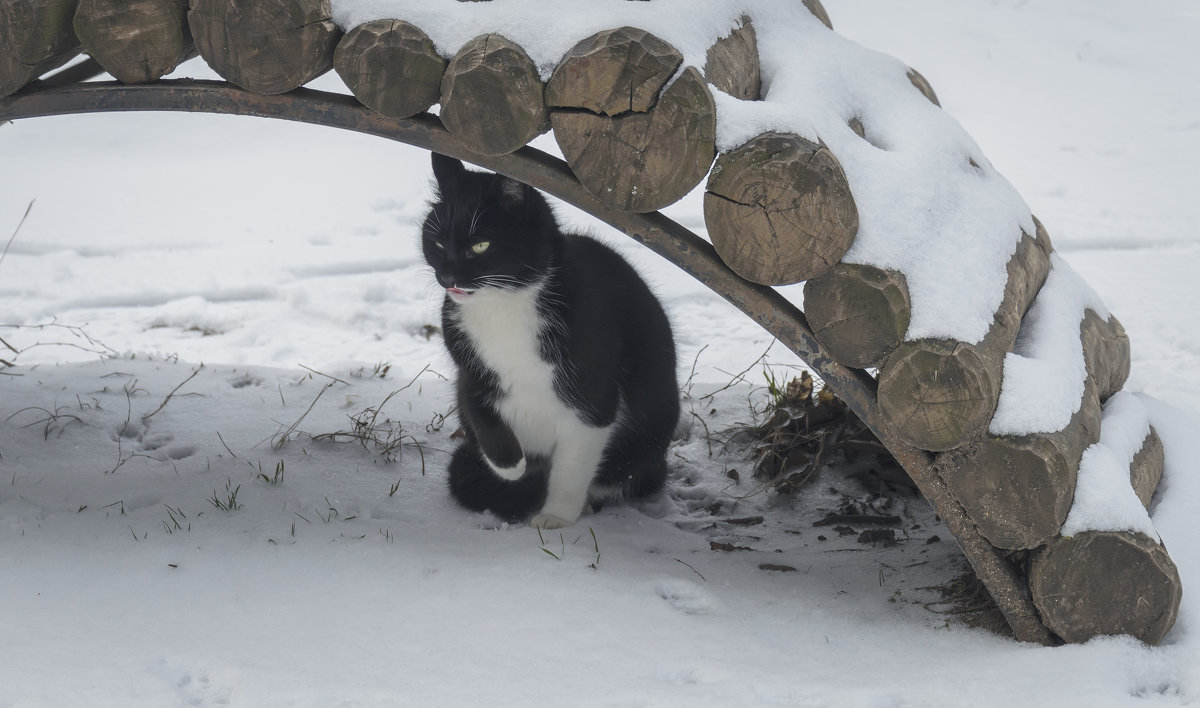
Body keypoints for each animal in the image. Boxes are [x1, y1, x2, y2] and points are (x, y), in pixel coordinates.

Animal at [427, 156, 681, 532]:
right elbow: (477, 406)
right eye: (438, 244)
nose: (447, 278)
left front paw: (557, 516)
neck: (503, 304)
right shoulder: (467, 362)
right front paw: (510, 466)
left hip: (648, 433)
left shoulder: (592, 397)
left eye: (480, 246)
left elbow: (571, 467)